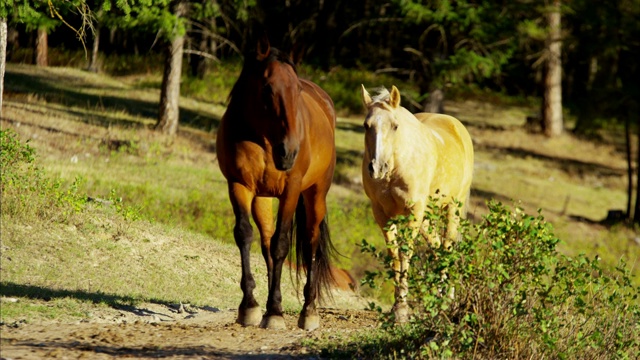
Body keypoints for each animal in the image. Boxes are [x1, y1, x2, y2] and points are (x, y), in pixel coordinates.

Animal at [216, 37, 338, 332]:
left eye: (297, 90)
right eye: (267, 88)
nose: (288, 152)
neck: (262, 139)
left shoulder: (290, 191)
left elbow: (282, 244)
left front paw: (275, 312)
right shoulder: (239, 186)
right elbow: (245, 235)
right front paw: (250, 306)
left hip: (315, 195)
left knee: (310, 243)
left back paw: (309, 311)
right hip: (262, 198)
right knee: (266, 242)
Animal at [360, 85, 476, 324]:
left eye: (395, 126)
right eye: (366, 126)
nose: (377, 168)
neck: (395, 168)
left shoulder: (413, 212)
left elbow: (406, 254)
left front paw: (403, 310)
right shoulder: (382, 214)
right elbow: (395, 256)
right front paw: (397, 306)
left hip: (452, 209)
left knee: (447, 246)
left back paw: (446, 299)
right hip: (427, 217)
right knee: (437, 246)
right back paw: (439, 296)